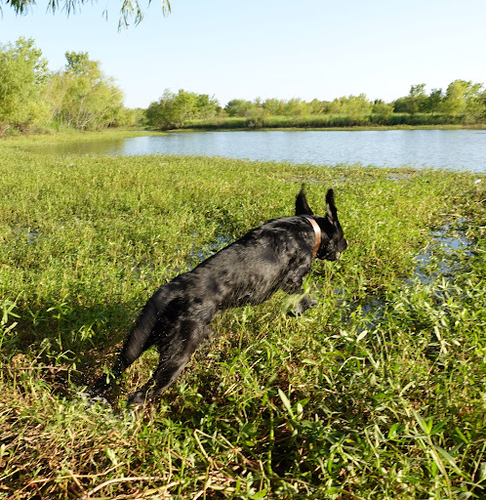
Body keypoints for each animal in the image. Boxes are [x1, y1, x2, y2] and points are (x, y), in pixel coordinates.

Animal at [96, 188, 346, 406]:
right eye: (342, 234)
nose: (347, 244)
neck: (307, 229)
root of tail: (172, 289)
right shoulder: (292, 279)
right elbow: (306, 293)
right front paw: (304, 307)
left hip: (139, 342)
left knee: (111, 372)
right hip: (178, 354)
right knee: (140, 395)